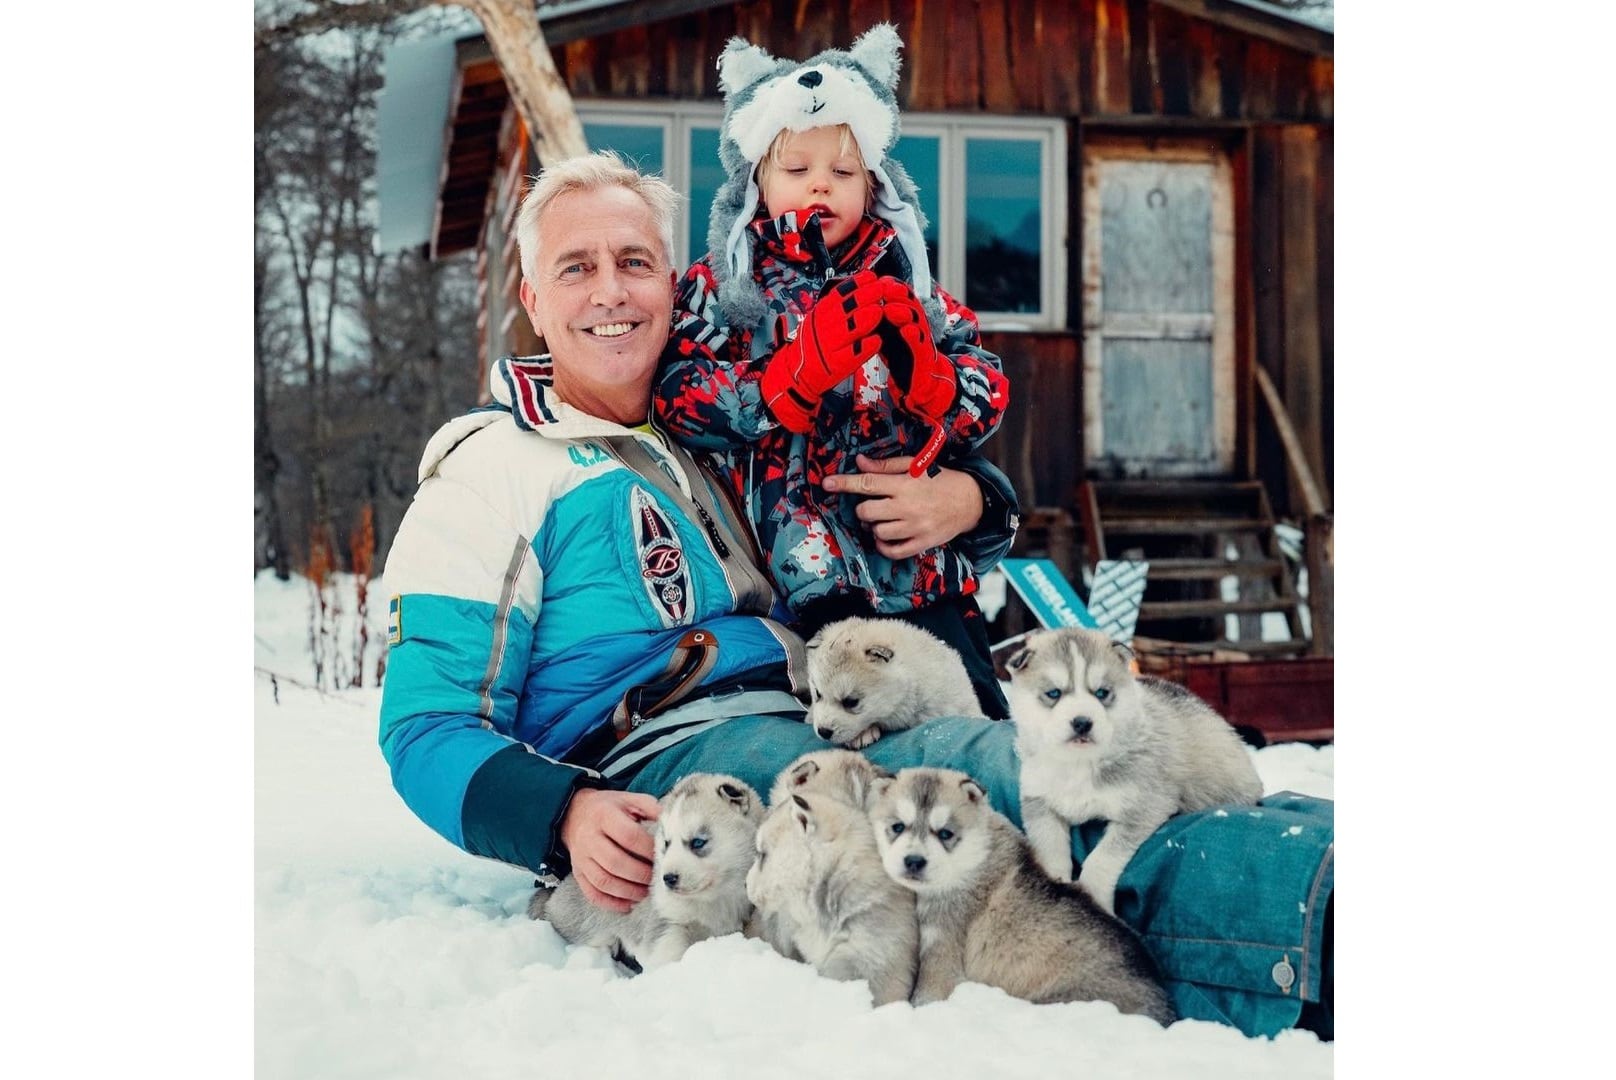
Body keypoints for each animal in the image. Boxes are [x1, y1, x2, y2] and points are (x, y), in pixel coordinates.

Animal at [526, 776, 759, 970]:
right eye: (666, 843)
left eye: (698, 842)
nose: (668, 879)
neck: (714, 898)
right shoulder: (664, 920)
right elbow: (668, 951)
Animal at [872, 766, 1176, 1021]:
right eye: (897, 827)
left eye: (945, 834)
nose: (913, 861)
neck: (976, 857)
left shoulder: (943, 943)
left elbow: (931, 990)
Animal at [1008, 627, 1260, 918]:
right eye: (1054, 693)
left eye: (1102, 693)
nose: (1082, 722)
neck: (1079, 762)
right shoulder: (1039, 802)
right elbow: (1049, 850)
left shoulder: (1143, 805)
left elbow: (1100, 859)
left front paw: (1093, 896)